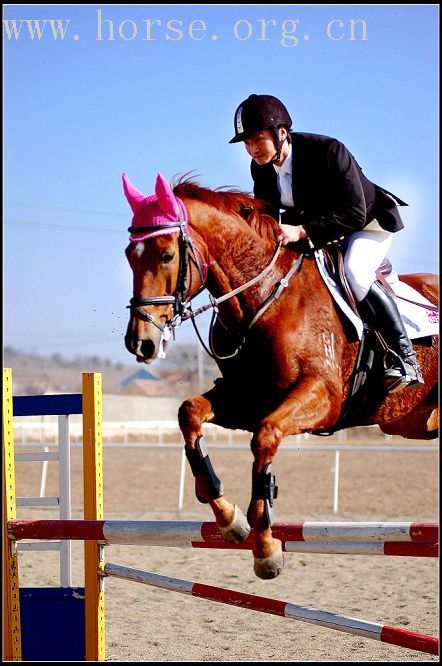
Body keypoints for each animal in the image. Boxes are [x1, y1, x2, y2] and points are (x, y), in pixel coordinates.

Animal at [121, 171, 438, 576]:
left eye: (166, 255)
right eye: (129, 256)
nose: (140, 342)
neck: (263, 295)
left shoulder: (322, 398)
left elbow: (265, 438)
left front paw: (265, 546)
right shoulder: (246, 397)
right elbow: (189, 413)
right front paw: (229, 518)